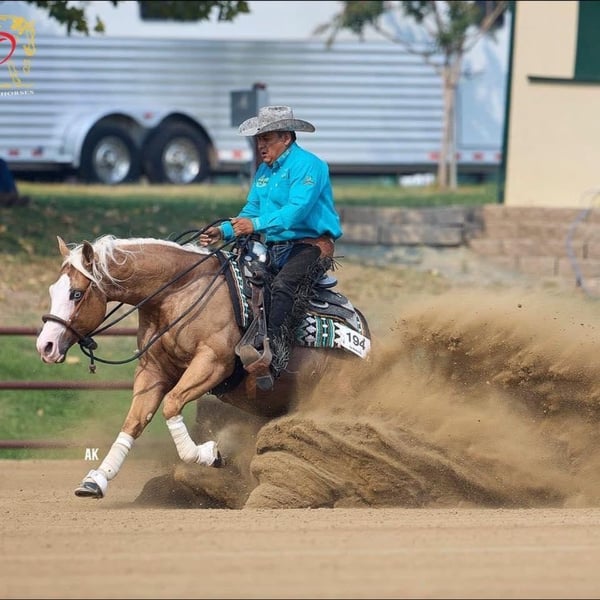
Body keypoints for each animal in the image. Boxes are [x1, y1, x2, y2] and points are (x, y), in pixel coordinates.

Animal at [36, 233, 371, 501]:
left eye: (76, 293)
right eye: (53, 291)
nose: (45, 346)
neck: (179, 293)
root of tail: (362, 333)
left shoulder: (212, 363)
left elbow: (172, 404)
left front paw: (210, 454)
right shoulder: (152, 370)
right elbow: (134, 421)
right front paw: (96, 480)